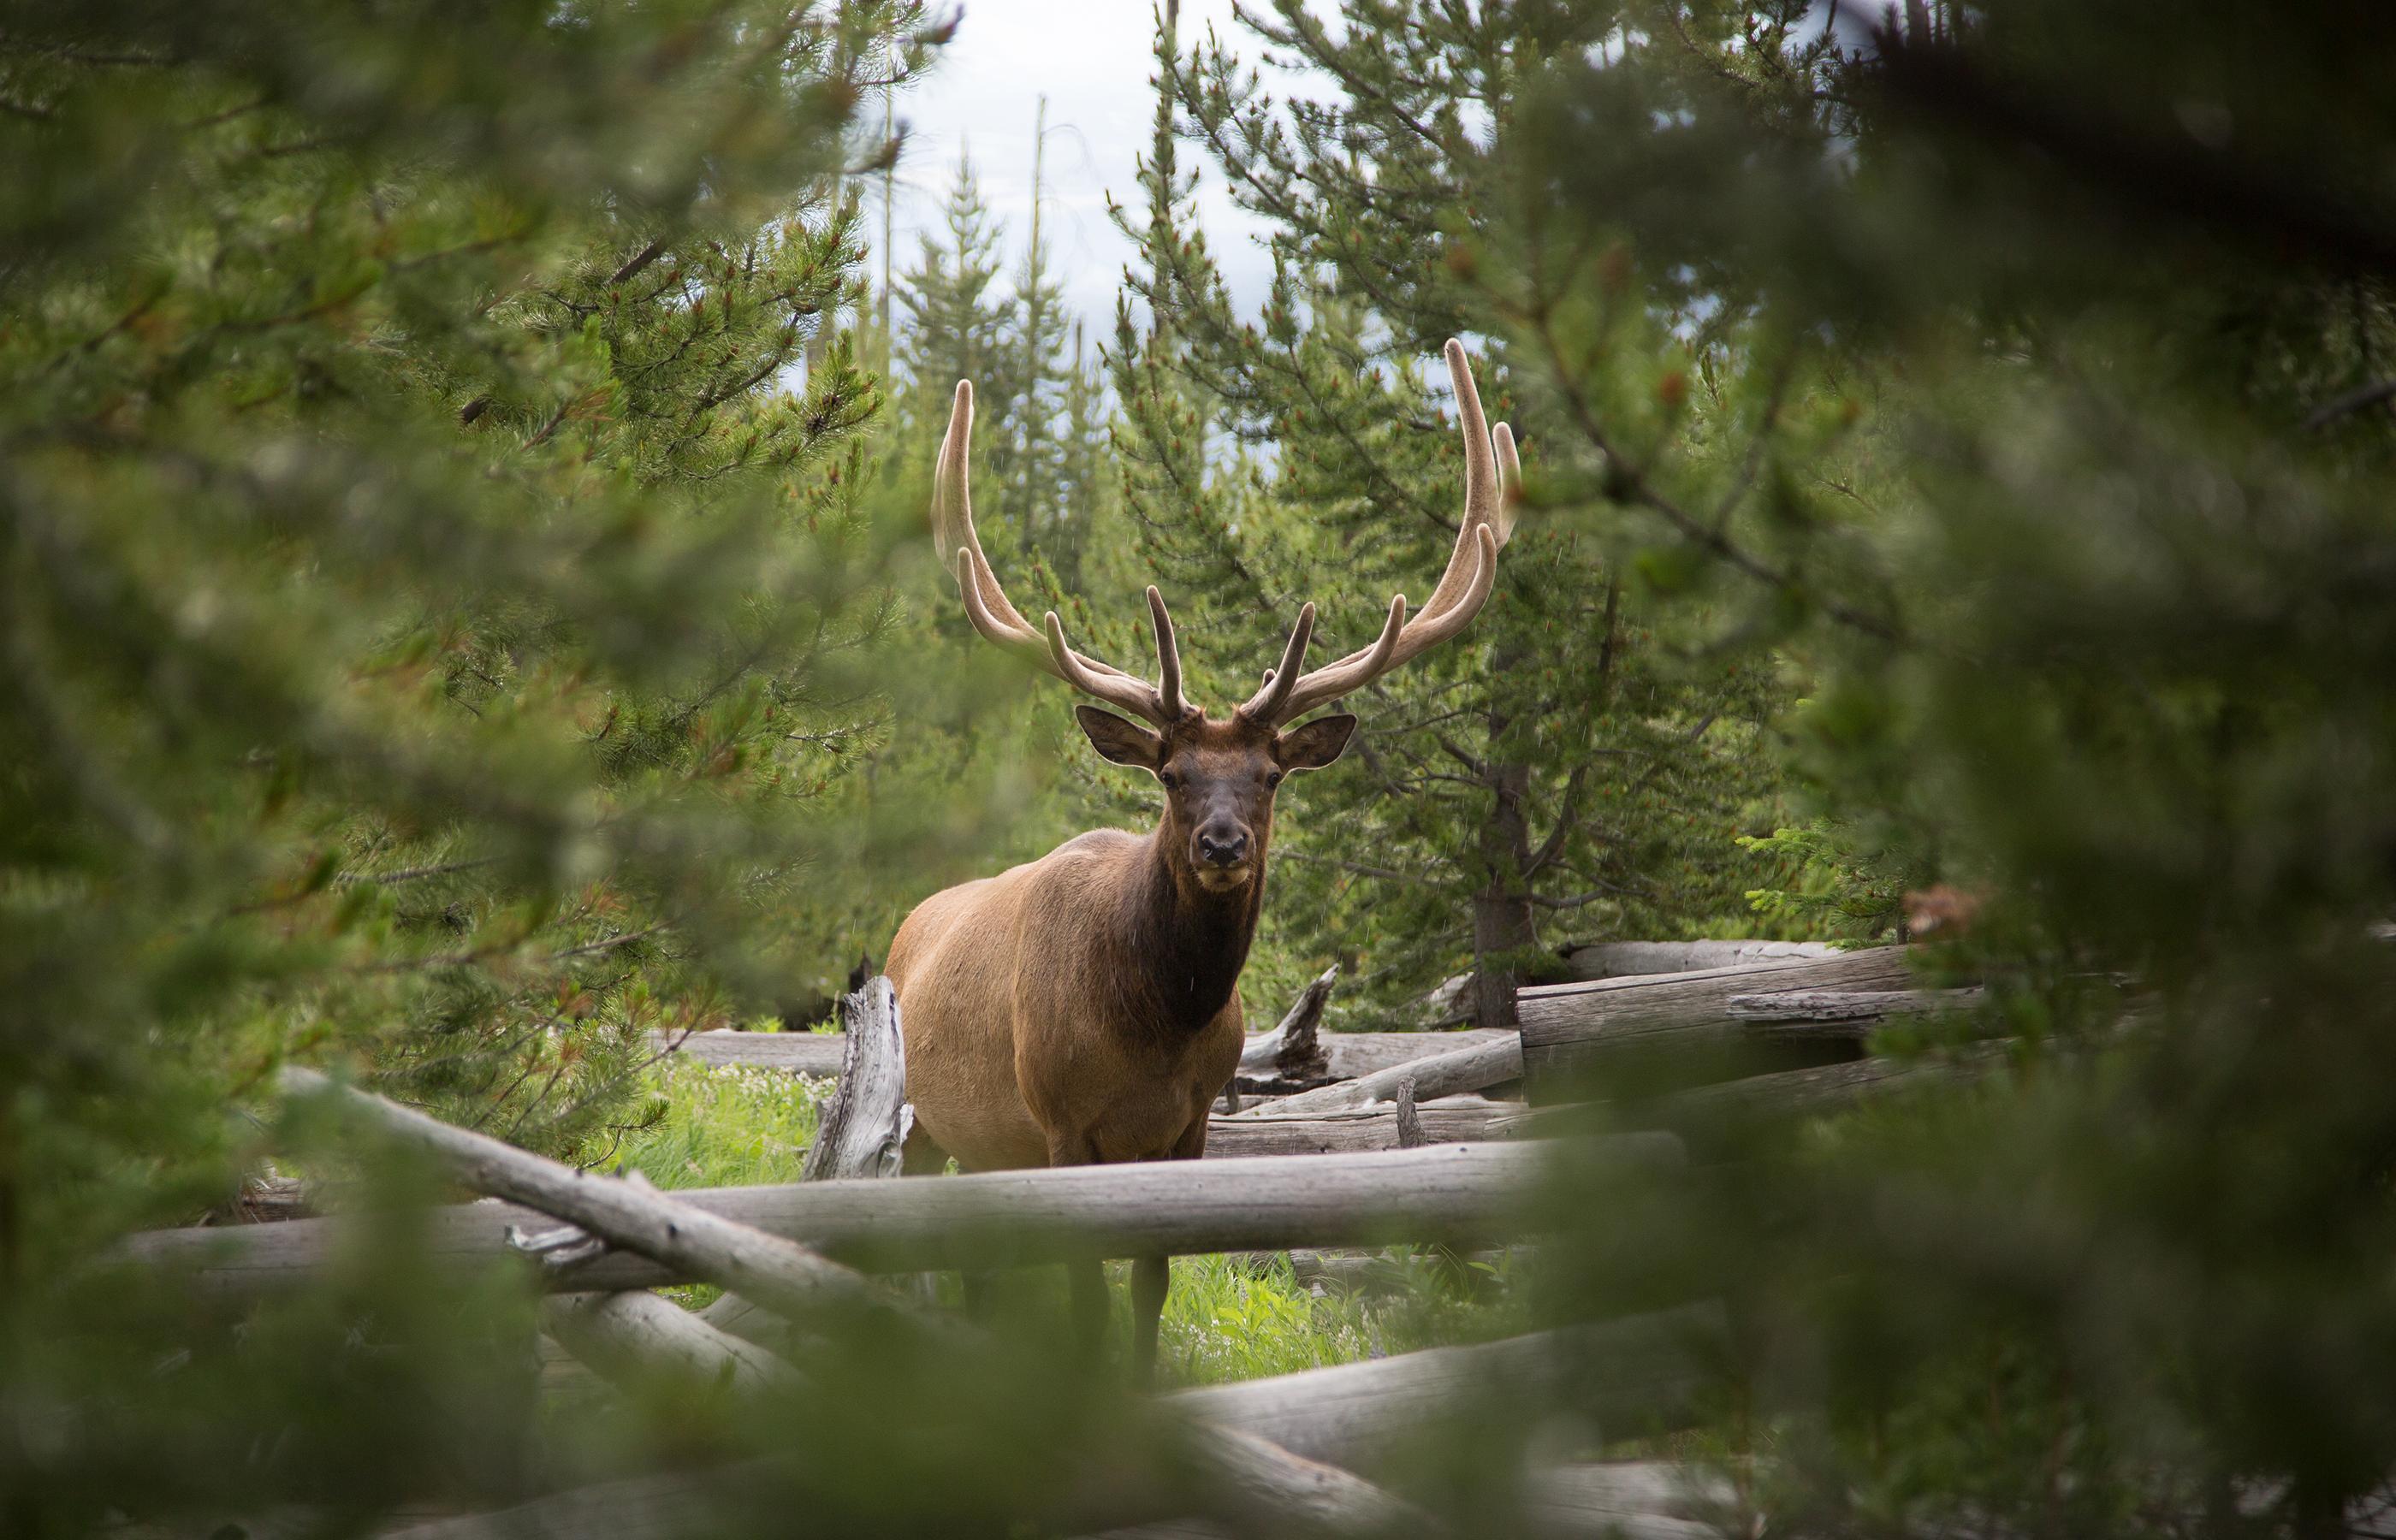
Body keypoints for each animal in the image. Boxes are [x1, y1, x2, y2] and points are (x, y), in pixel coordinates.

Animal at [883, 340, 1522, 1384]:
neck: (1155, 1028)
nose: (1222, 843)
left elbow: (1151, 1284)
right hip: (921, 1115)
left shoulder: (1188, 1129)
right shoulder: (1059, 1122)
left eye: (1268, 775)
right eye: (1174, 773)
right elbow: (1087, 1299)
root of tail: (906, 929)